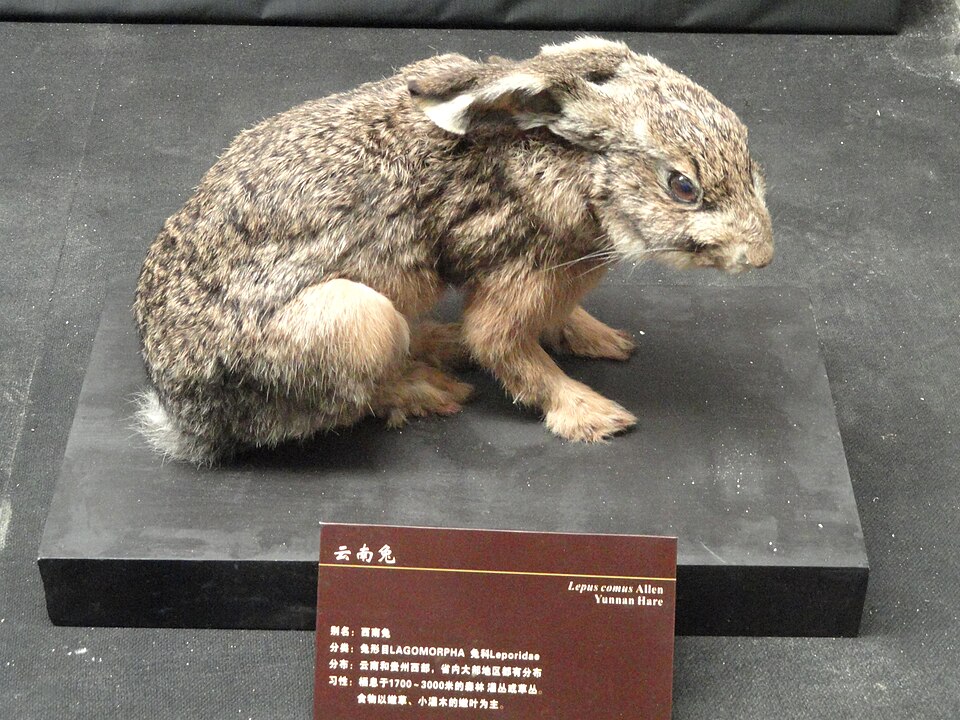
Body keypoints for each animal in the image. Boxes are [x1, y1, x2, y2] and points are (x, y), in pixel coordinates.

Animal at [133, 37, 774, 465]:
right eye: (682, 186)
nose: (761, 256)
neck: (572, 163)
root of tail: (180, 415)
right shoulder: (522, 271)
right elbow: (506, 348)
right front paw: (595, 415)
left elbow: (561, 320)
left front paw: (604, 341)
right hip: (352, 319)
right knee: (358, 393)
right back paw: (431, 386)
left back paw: (441, 346)